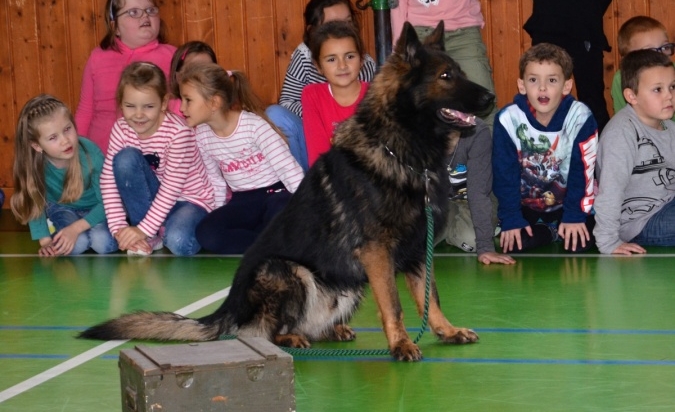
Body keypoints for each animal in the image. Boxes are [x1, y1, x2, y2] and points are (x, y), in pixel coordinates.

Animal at [79, 20, 494, 360]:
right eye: (445, 76)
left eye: (458, 72)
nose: (490, 98)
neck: (401, 150)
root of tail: (228, 308)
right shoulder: (378, 253)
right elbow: (394, 305)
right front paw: (402, 343)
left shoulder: (417, 249)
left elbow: (430, 298)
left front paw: (445, 330)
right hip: (286, 271)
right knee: (261, 333)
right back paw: (289, 338)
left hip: (347, 285)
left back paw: (333, 330)